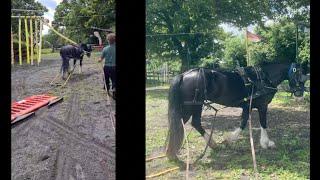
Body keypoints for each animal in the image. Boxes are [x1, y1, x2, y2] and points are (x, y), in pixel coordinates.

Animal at [166, 61, 308, 159]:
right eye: (299, 74)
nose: (300, 93)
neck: (263, 78)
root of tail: (184, 74)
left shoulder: (247, 106)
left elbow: (243, 122)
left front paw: (230, 139)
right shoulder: (262, 106)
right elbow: (263, 123)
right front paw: (266, 143)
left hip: (193, 106)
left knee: (186, 123)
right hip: (193, 105)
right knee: (186, 123)